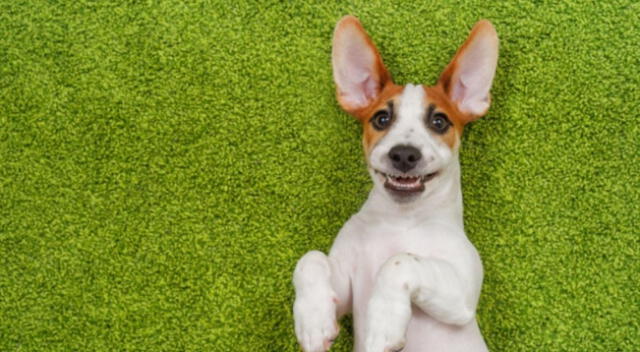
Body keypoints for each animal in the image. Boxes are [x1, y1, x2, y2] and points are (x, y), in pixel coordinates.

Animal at [296, 15, 500, 352]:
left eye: (439, 122)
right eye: (381, 119)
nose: (404, 154)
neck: (402, 219)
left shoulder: (462, 296)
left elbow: (400, 260)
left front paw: (385, 321)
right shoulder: (345, 288)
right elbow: (310, 259)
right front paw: (312, 318)